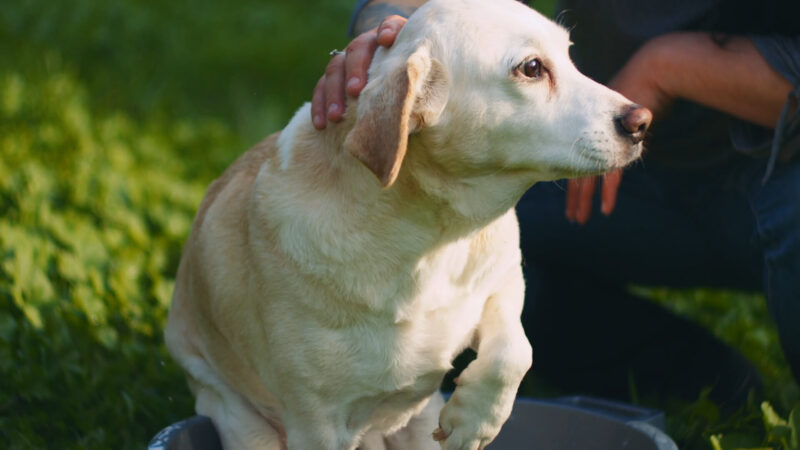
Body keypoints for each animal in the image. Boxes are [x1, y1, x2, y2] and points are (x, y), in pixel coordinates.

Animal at [166, 0, 652, 448]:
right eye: (532, 68)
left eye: (568, 55)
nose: (641, 121)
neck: (432, 240)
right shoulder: (315, 422)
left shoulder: (506, 279)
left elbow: (515, 350)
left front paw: (475, 421)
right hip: (241, 420)